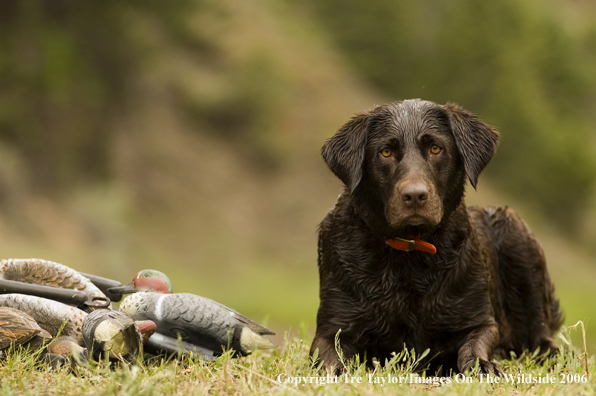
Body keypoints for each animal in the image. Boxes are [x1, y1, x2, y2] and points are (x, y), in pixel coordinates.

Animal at [312, 99, 564, 374]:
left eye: (435, 148)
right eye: (385, 152)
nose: (414, 196)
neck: (409, 256)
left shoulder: (480, 321)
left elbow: (473, 346)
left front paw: (483, 366)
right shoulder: (331, 329)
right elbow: (330, 361)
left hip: (517, 237)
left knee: (541, 340)